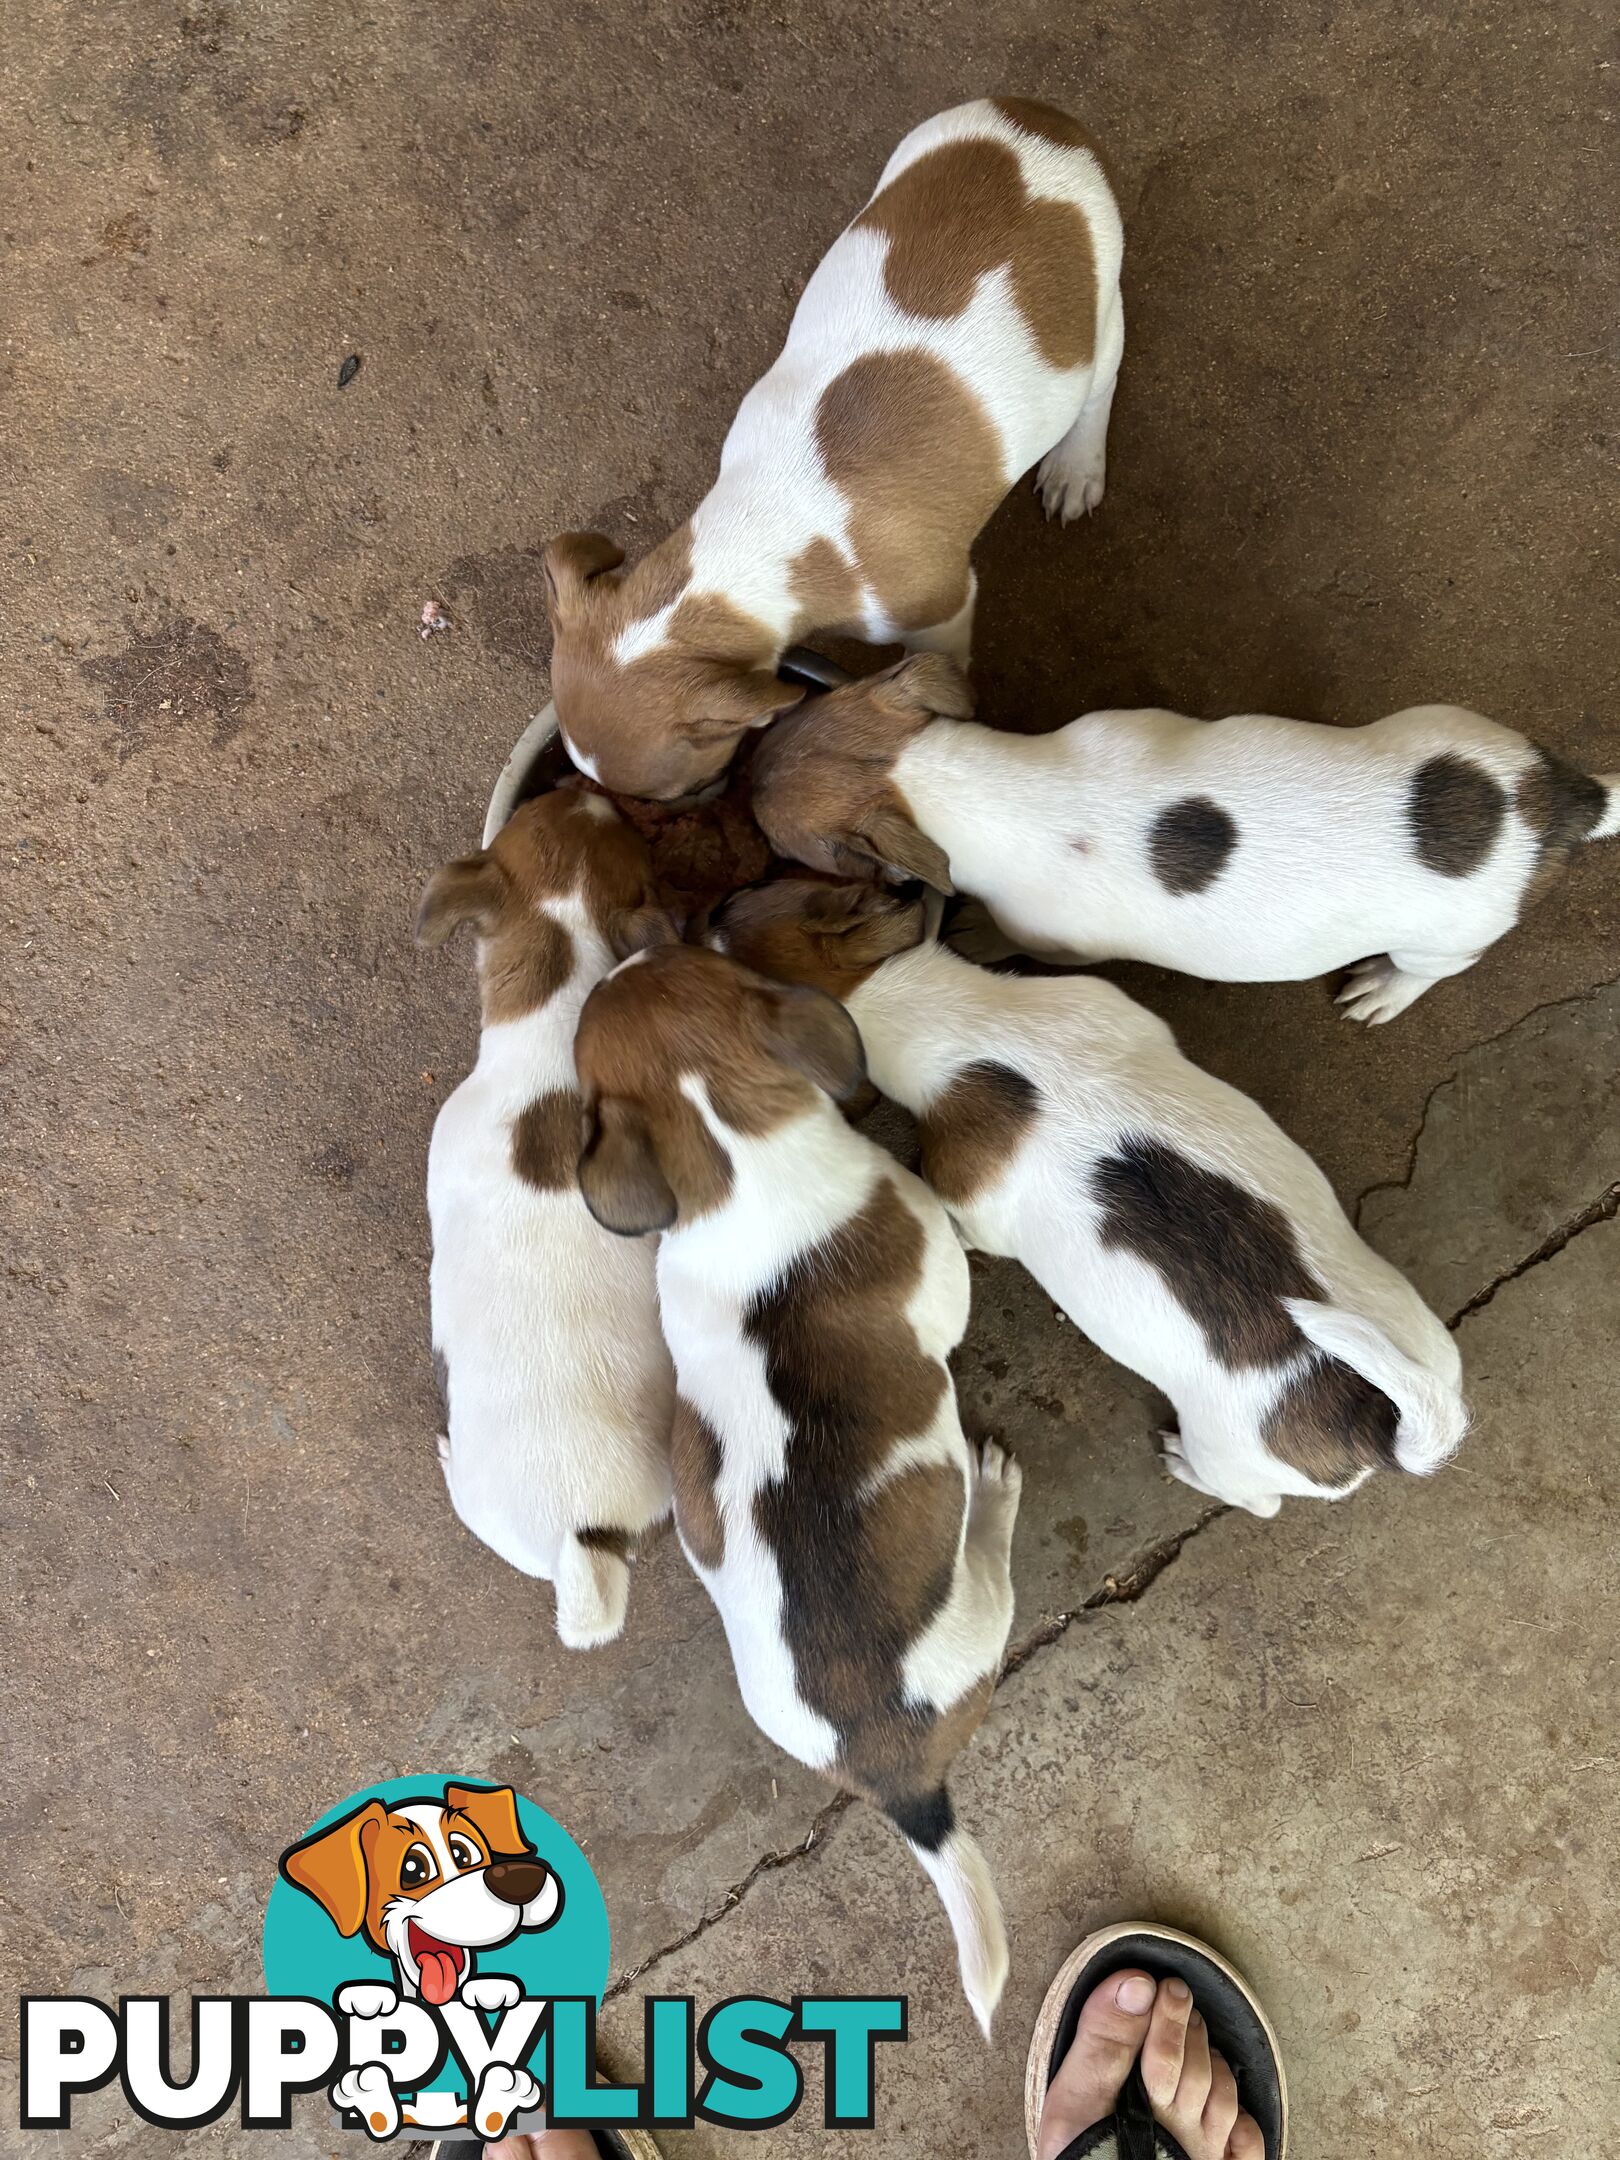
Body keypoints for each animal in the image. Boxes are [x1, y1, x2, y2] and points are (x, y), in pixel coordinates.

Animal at [546, 95, 1131, 803]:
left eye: (681, 792)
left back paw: (1076, 467)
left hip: (1102, 315)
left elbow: (942, 661)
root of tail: (1043, 117)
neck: (763, 526)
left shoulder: (943, 606)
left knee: (1099, 387)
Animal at [578, 937, 1019, 2030]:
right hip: (981, 1611)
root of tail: (902, 1782)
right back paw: (994, 1498)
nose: (632, 943)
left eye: (669, 955)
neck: (738, 1163)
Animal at [708, 876, 1468, 1520]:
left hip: (1232, 1458)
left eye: (723, 919)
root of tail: (1374, 1429)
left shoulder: (971, 1206)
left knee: (1260, 1503)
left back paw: (1185, 1465)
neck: (940, 1015)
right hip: (1427, 1346)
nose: (703, 911)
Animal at [751, 656, 1620, 1028]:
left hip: (1443, 940)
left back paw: (1383, 991)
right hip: (1440, 723)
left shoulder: (1055, 939)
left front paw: (978, 930)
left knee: (1432, 970)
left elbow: (1009, 933)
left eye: (773, 833)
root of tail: (1566, 801)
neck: (962, 783)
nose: (738, 772)